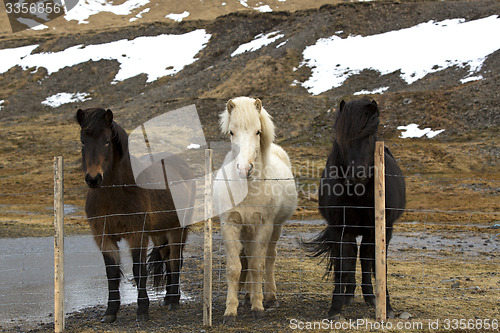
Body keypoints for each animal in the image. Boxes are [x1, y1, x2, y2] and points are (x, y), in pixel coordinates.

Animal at [76, 108, 193, 322]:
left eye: (107, 141)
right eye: (82, 141)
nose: (93, 179)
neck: (115, 193)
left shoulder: (137, 235)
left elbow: (139, 271)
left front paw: (142, 310)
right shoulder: (103, 238)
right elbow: (112, 273)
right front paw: (110, 312)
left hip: (177, 230)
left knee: (175, 260)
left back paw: (173, 300)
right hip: (159, 233)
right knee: (168, 259)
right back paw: (167, 298)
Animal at [212, 95, 296, 322]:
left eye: (257, 131)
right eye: (231, 132)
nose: (244, 169)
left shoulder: (263, 227)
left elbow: (258, 265)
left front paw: (258, 307)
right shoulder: (230, 226)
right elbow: (235, 268)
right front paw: (230, 310)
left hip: (275, 228)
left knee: (268, 259)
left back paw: (270, 297)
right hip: (246, 231)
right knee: (247, 258)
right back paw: (248, 295)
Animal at [304, 99, 406, 320]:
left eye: (369, 136)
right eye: (343, 137)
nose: (358, 174)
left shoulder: (382, 230)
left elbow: (378, 265)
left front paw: (387, 306)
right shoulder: (340, 229)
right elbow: (343, 266)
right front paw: (335, 308)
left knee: (365, 259)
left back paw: (370, 297)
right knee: (351, 260)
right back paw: (349, 295)